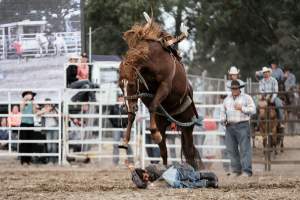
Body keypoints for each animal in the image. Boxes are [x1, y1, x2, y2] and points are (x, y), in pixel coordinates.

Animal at [117, 19, 204, 170]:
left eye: (132, 84)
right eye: (121, 86)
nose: (128, 105)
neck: (152, 60)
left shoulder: (165, 86)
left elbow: (153, 105)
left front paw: (155, 134)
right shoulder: (144, 93)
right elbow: (133, 115)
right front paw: (125, 141)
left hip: (187, 123)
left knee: (189, 151)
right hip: (163, 122)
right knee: (164, 151)